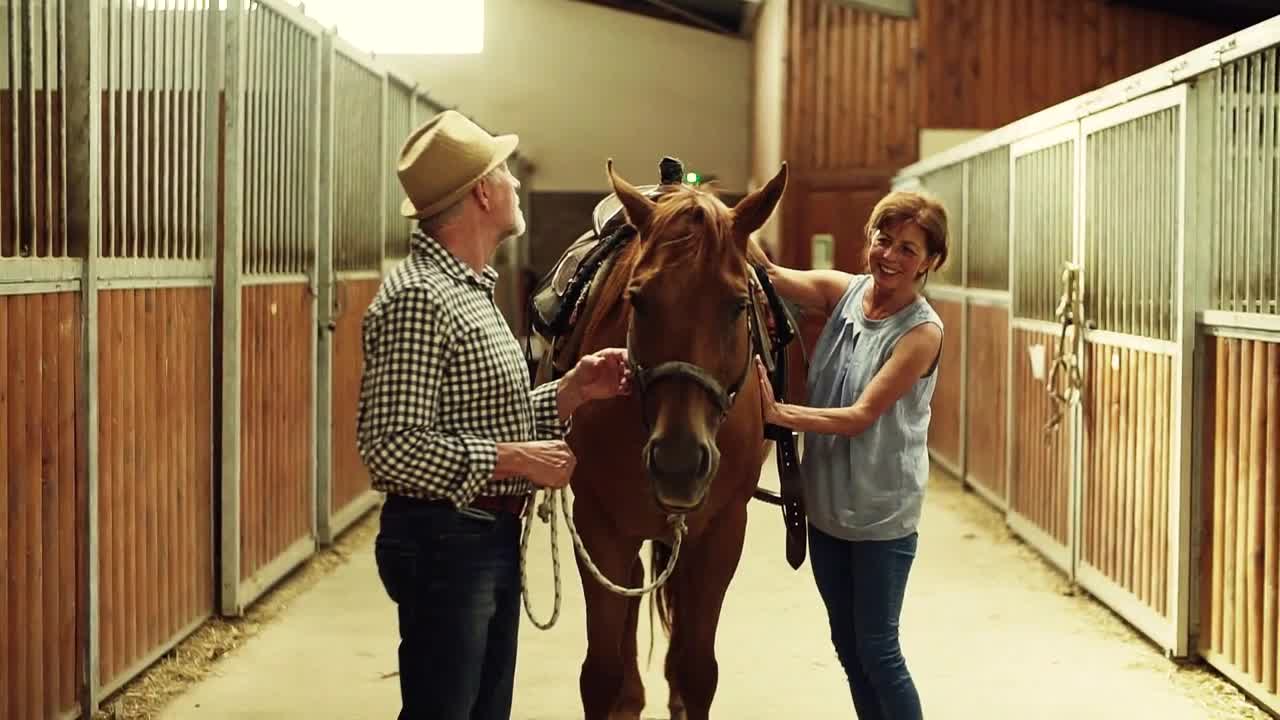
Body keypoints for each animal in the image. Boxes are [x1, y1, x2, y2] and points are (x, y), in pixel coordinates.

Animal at [563, 159, 788, 712]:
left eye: (737, 305)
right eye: (638, 301)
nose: (679, 464)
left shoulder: (722, 532)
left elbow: (696, 670)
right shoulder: (598, 526)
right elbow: (599, 674)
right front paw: (620, 694)